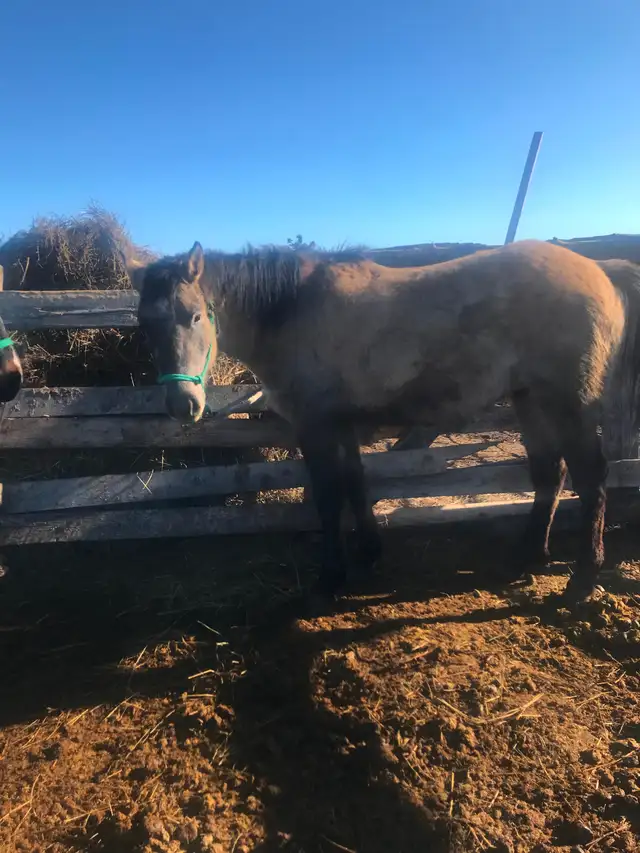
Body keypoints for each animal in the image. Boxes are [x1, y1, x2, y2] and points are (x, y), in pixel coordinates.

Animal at [133, 239, 630, 605]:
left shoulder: (315, 426)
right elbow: (356, 484)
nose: (182, 404)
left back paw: (583, 579)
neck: (293, 310)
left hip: (568, 403)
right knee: (550, 474)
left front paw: (331, 577)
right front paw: (370, 553)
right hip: (530, 401)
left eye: (196, 315)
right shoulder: (343, 425)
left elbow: (329, 497)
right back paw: (530, 556)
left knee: (591, 478)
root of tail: (600, 272)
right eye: (145, 326)